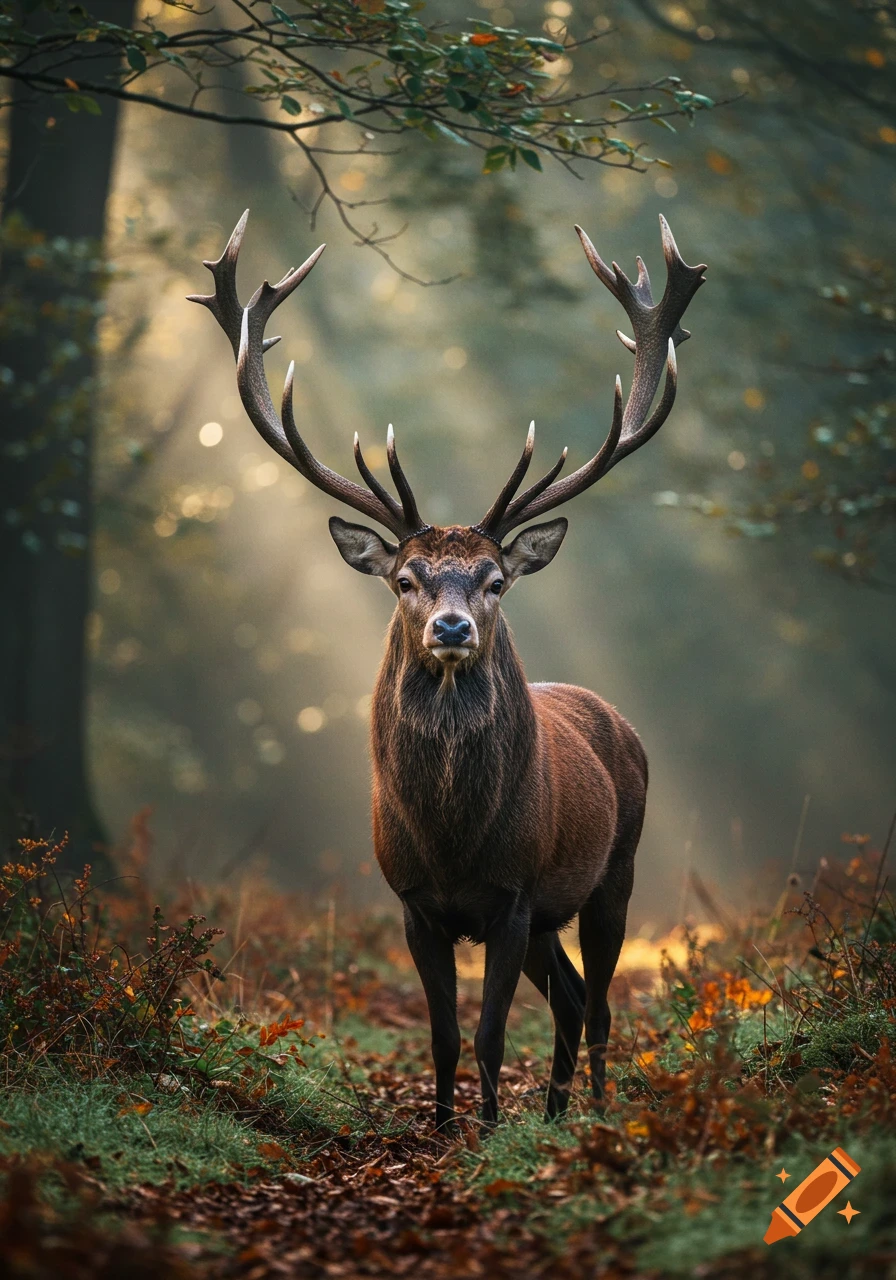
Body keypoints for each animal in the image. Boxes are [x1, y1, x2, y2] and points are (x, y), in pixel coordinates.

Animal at [189, 211, 706, 1130]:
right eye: (406, 578)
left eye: (495, 579)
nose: (453, 625)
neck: (454, 837)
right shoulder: (412, 902)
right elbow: (445, 1035)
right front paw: (440, 1125)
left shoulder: (514, 893)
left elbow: (493, 1033)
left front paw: (489, 1129)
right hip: (553, 914)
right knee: (571, 996)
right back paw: (555, 1112)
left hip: (616, 869)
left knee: (601, 1001)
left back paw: (593, 1109)